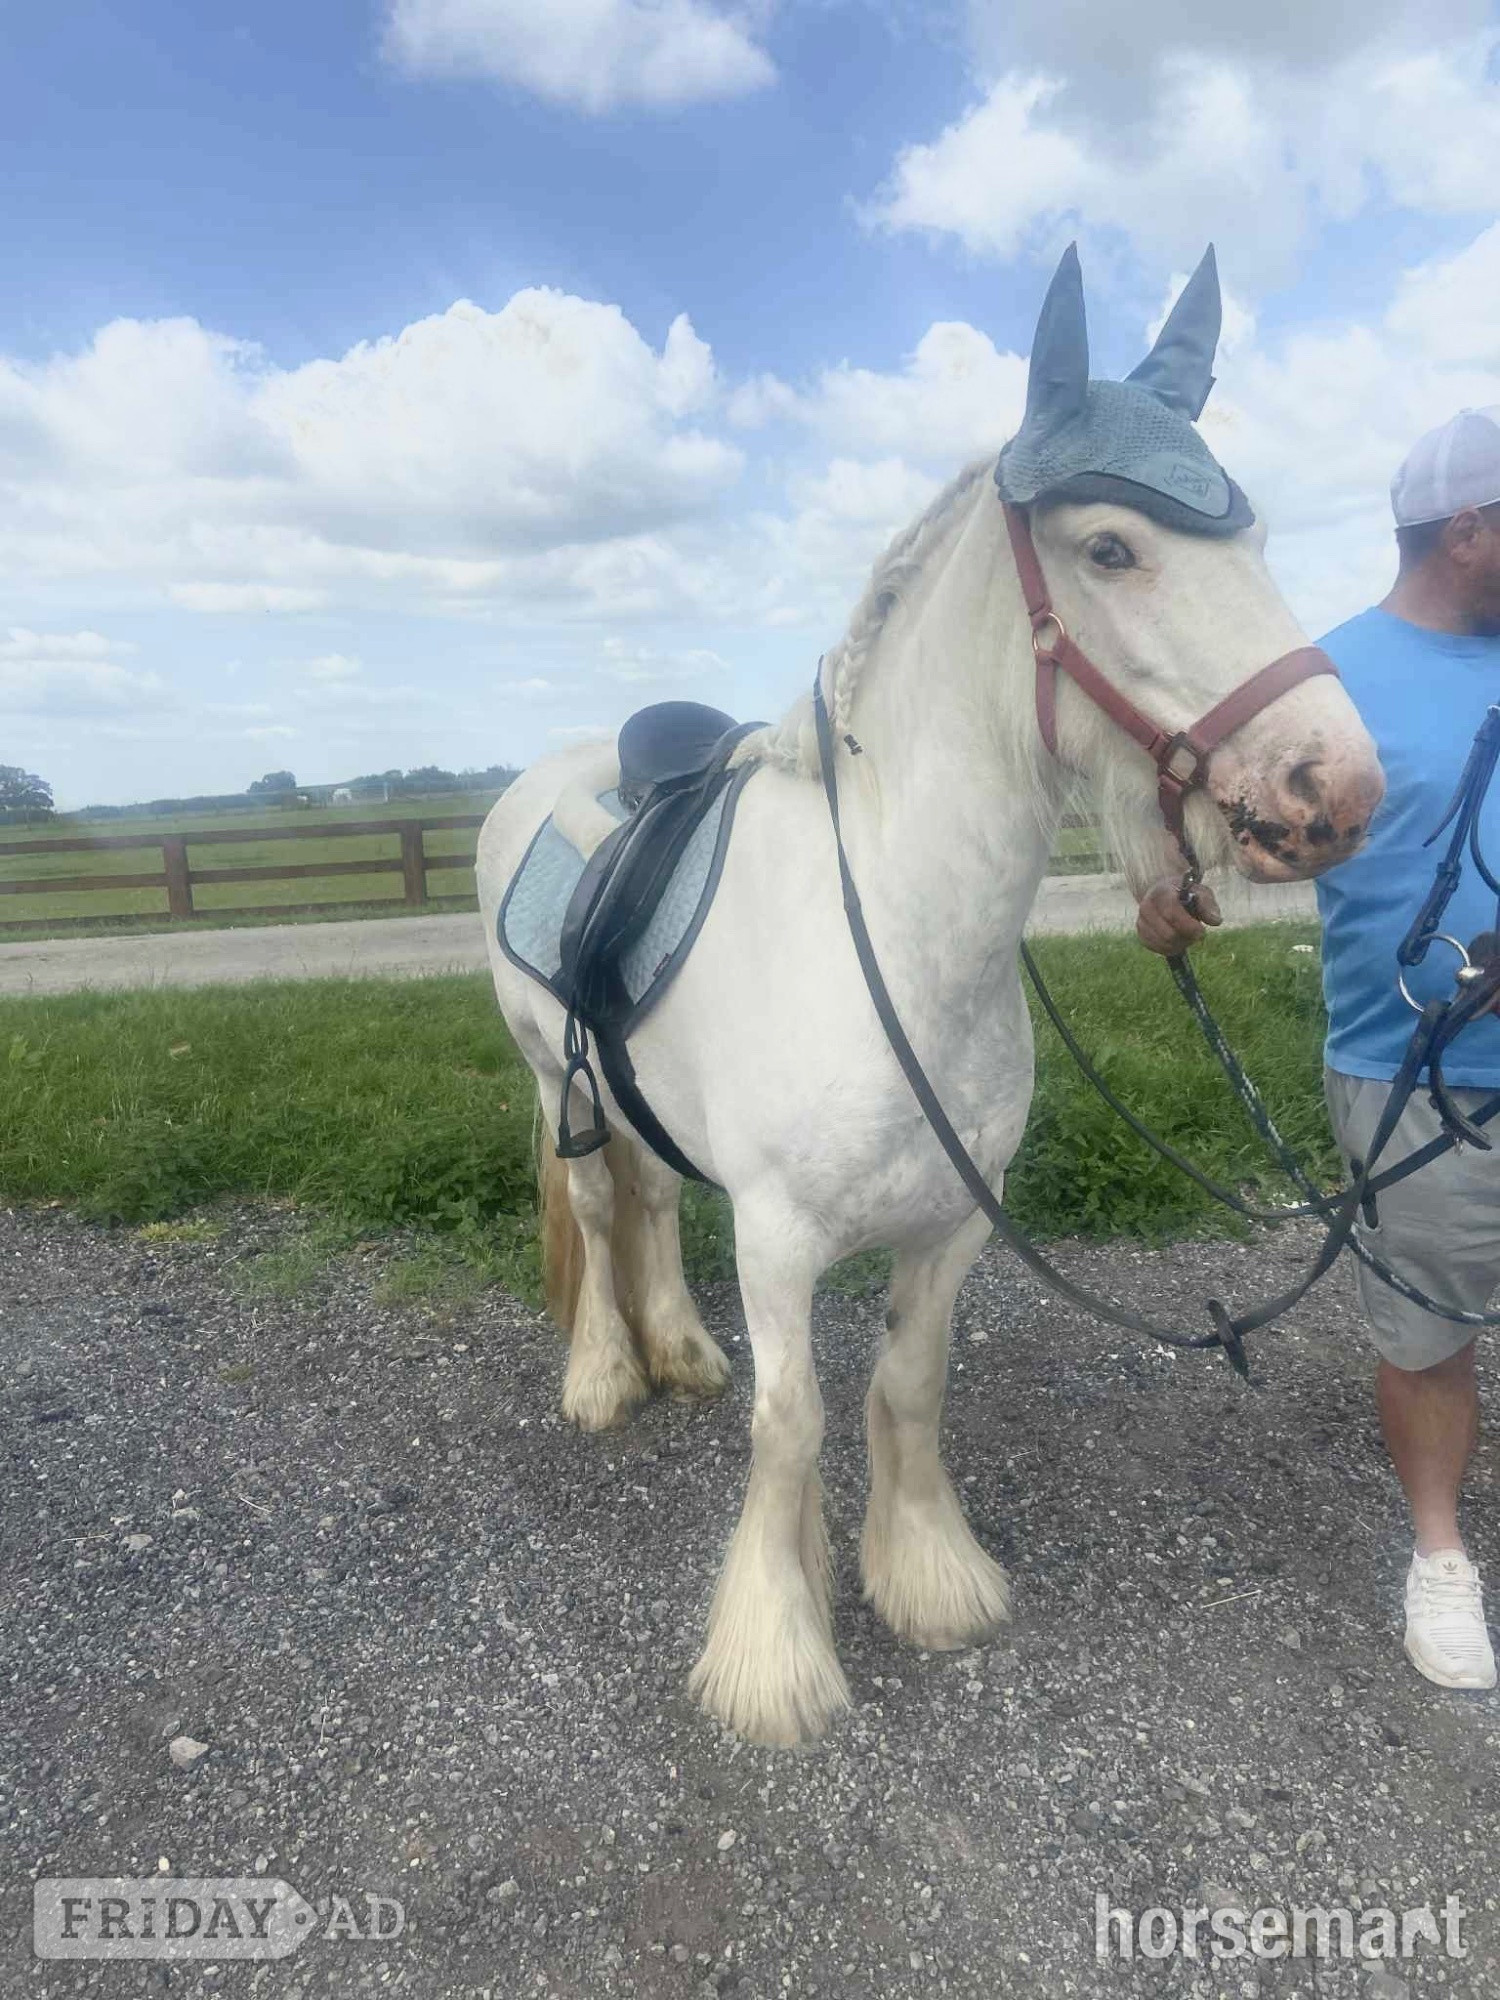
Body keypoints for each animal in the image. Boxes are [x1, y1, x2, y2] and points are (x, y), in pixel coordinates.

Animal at [475, 251, 1384, 1747]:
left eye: (1254, 542)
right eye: (1111, 549)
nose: (1339, 790)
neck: (899, 945)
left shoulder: (957, 1223)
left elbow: (908, 1383)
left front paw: (928, 1578)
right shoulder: (780, 1241)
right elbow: (792, 1424)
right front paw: (777, 1649)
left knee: (653, 1199)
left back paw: (680, 1350)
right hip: (559, 1079)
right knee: (605, 1207)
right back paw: (608, 1373)